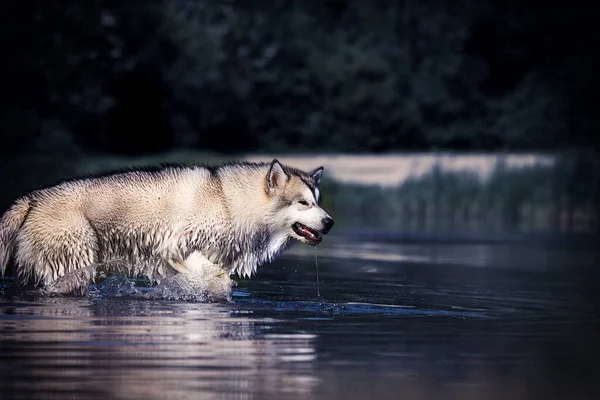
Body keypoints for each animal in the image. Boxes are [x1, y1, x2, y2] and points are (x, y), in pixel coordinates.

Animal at [0, 160, 332, 296]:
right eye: (303, 203)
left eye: (317, 201)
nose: (329, 222)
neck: (229, 202)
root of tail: (30, 198)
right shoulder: (178, 246)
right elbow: (219, 281)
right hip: (70, 270)